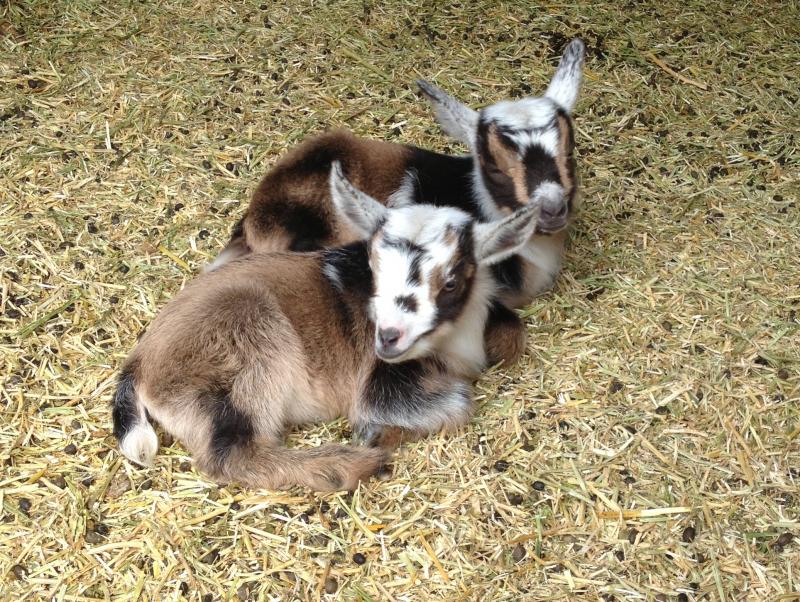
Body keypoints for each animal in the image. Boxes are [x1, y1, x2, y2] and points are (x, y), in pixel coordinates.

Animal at [112, 163, 541, 492]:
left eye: (450, 281)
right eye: (375, 270)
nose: (388, 338)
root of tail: (139, 363)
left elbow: (511, 335)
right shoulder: (379, 385)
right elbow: (459, 402)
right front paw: (377, 433)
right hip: (246, 346)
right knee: (232, 453)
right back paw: (347, 466)